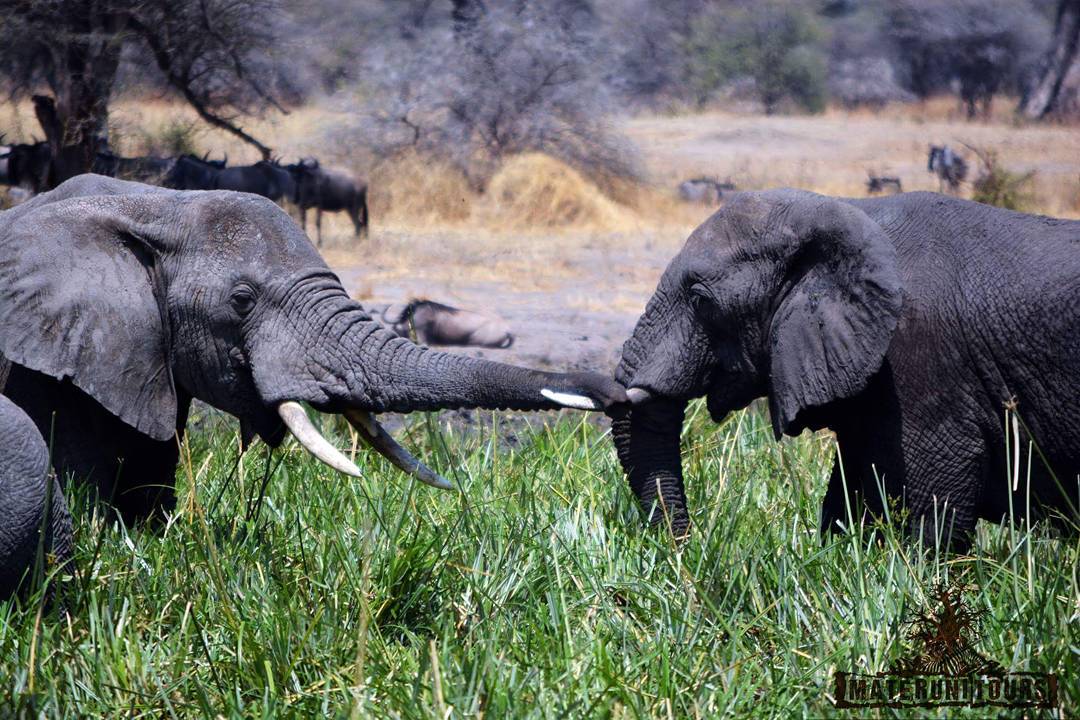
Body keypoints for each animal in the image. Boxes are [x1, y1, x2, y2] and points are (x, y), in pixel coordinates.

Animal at [613, 188, 1080, 548]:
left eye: (699, 300)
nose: (689, 549)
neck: (846, 211)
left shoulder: (924, 364)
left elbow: (935, 514)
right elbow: (849, 498)